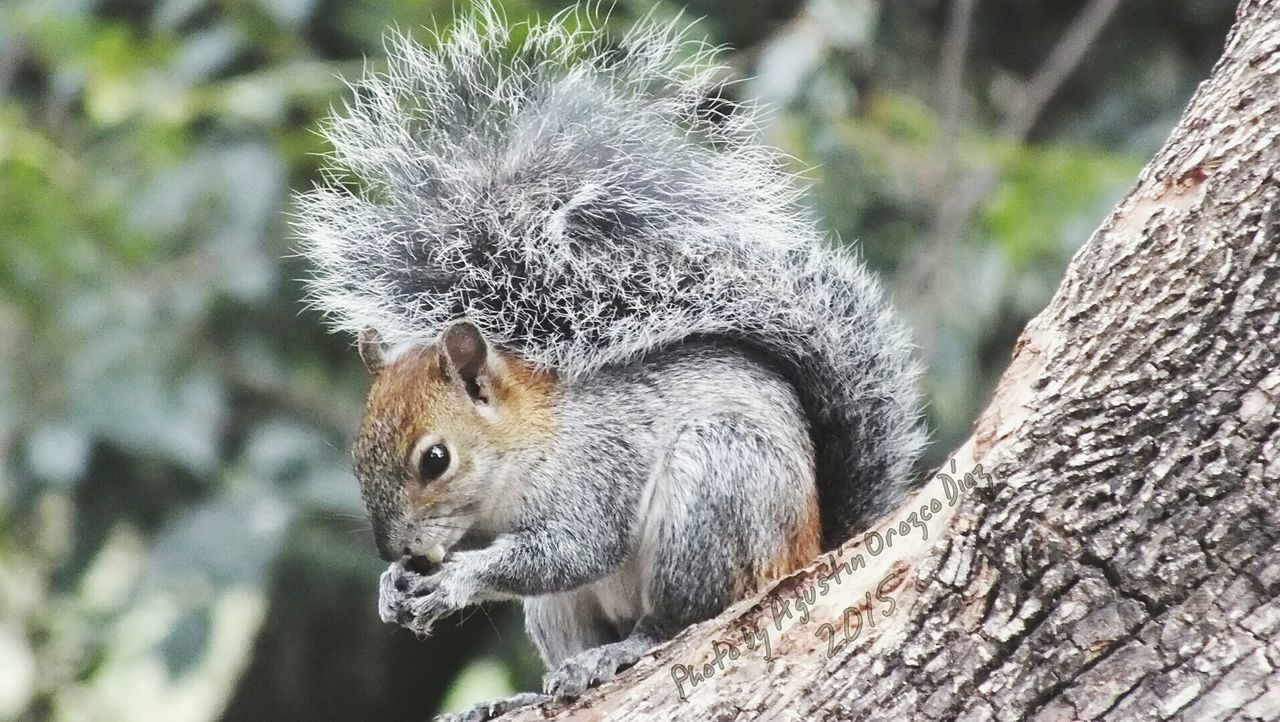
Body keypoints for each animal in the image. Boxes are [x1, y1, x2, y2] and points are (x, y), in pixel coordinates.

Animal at [294, 0, 926, 711]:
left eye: (436, 459)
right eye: (355, 455)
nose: (394, 551)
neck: (523, 447)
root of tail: (813, 551)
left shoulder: (594, 474)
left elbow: (573, 550)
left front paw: (453, 580)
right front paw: (392, 591)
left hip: (717, 488)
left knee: (681, 620)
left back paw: (624, 650)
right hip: (564, 608)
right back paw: (521, 695)